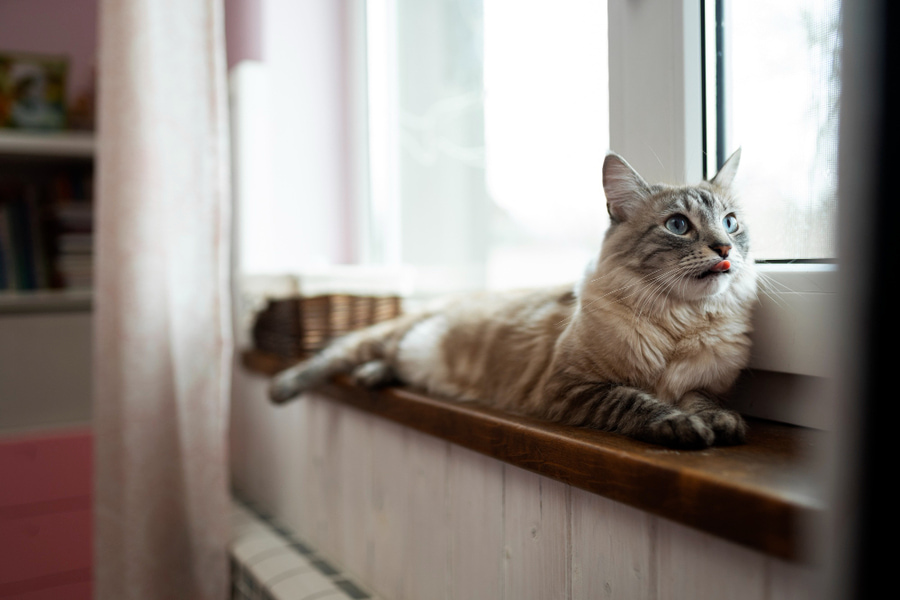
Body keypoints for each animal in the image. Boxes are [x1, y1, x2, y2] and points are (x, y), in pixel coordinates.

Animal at [270, 150, 756, 448]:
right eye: (678, 226)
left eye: (730, 223)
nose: (724, 249)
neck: (679, 321)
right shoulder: (574, 386)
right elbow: (640, 402)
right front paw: (683, 426)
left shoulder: (697, 384)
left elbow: (701, 401)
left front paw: (722, 423)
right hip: (385, 336)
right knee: (330, 357)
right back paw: (283, 389)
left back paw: (373, 376)